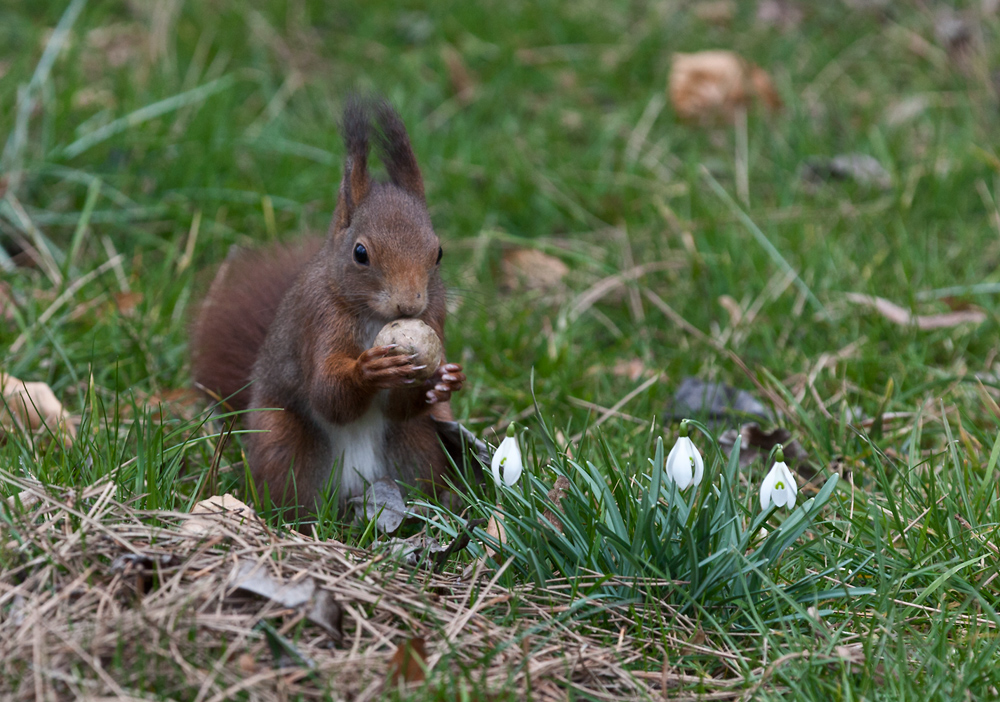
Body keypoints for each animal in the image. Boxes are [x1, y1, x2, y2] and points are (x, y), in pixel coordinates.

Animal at [190, 96, 464, 520]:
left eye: (438, 252)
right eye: (360, 253)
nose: (409, 303)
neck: (375, 318)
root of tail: (356, 489)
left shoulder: (434, 316)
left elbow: (403, 406)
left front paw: (444, 380)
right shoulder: (318, 319)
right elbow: (327, 394)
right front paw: (369, 370)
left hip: (421, 442)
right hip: (282, 445)